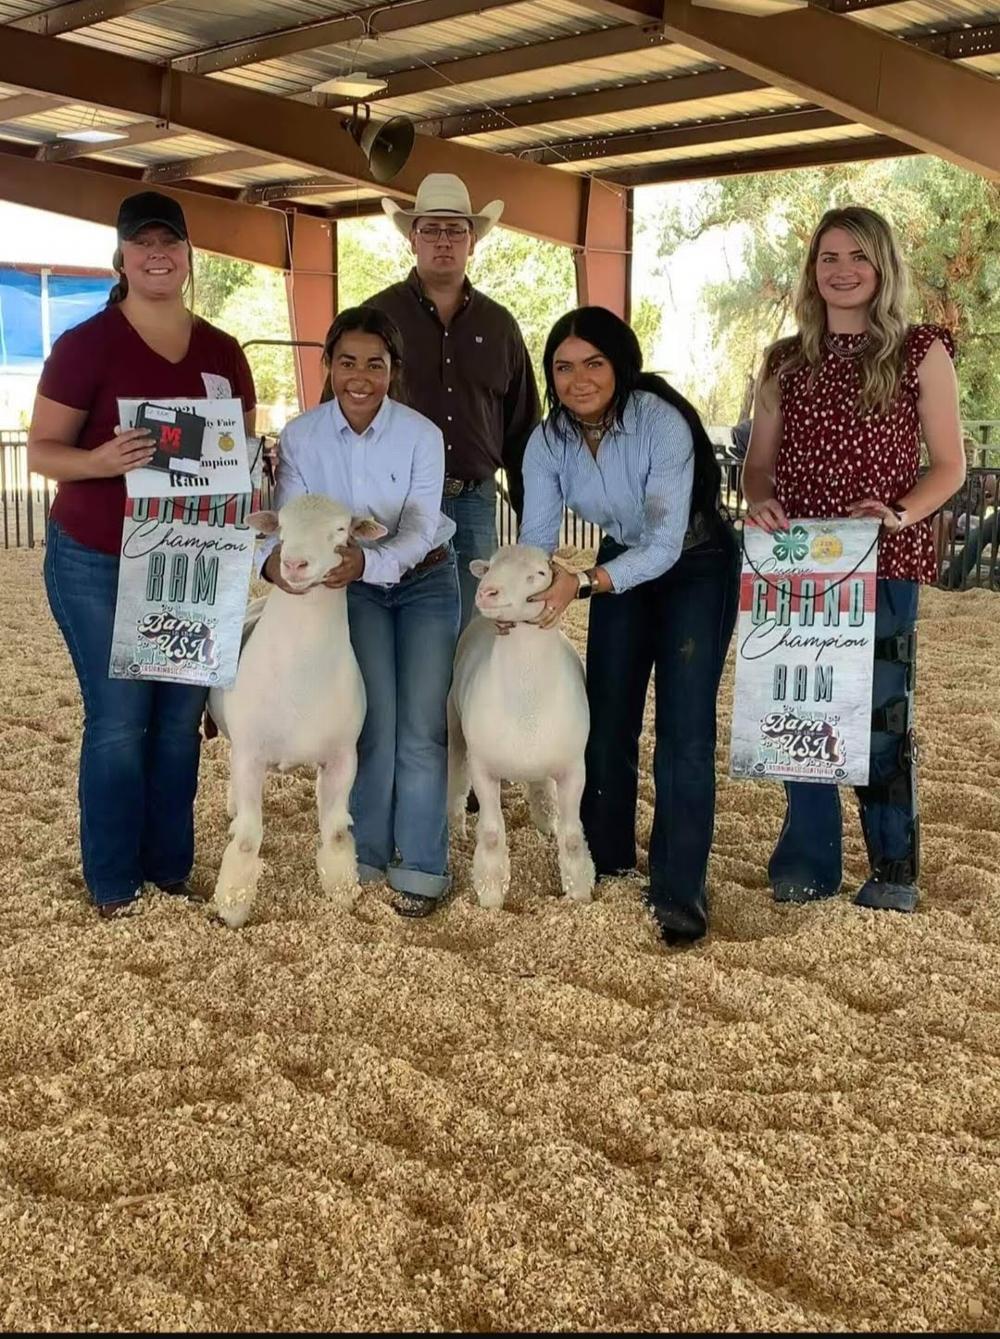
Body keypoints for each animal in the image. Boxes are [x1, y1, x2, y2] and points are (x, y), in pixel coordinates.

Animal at [207, 495, 382, 931]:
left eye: (341, 529)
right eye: (282, 529)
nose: (294, 564)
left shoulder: (343, 756)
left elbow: (336, 833)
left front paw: (342, 893)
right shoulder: (250, 753)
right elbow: (248, 839)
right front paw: (232, 906)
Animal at [447, 543, 594, 910]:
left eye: (539, 574)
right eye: (490, 568)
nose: (487, 592)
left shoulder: (574, 769)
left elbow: (573, 837)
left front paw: (579, 892)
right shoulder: (484, 768)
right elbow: (491, 834)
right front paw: (490, 894)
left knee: (541, 786)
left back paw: (545, 820)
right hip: (454, 725)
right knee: (456, 780)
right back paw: (455, 829)